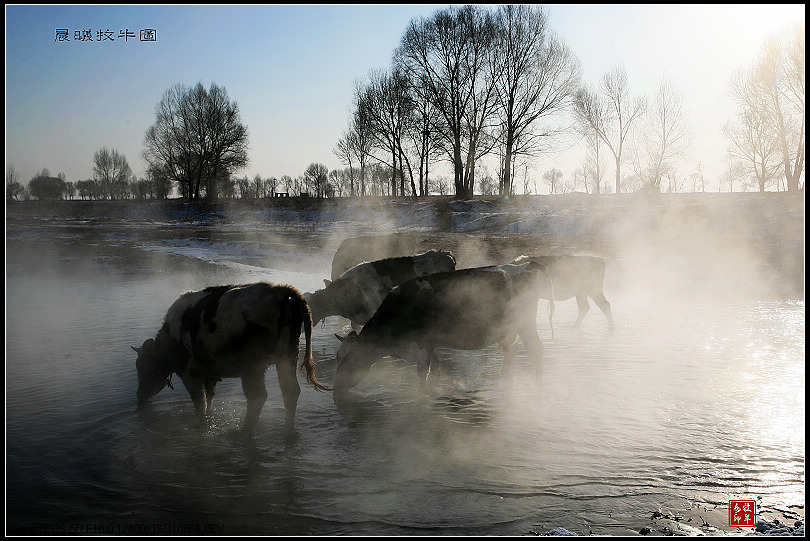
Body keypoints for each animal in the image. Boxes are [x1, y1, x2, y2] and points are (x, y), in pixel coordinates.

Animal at [131, 282, 326, 430]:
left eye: (142, 367)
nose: (139, 396)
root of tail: (278, 290)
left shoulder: (190, 374)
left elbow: (200, 404)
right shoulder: (210, 375)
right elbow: (209, 400)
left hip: (253, 366)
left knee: (258, 396)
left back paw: (244, 432)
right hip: (287, 357)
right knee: (290, 391)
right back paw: (288, 431)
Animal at [332, 258, 552, 400]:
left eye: (350, 358)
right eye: (337, 356)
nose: (335, 389)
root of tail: (524, 266)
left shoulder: (422, 346)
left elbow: (423, 373)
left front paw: (422, 396)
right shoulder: (431, 345)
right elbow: (436, 369)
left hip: (525, 324)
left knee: (537, 350)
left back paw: (539, 385)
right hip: (507, 330)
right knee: (511, 351)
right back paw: (504, 379)